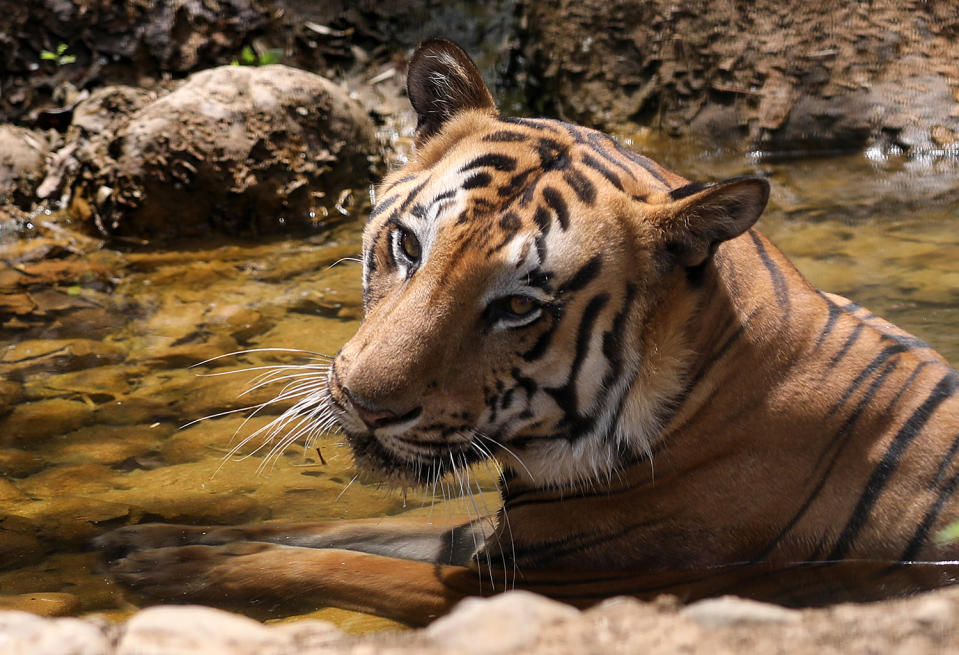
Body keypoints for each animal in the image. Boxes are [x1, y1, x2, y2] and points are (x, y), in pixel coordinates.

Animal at [99, 37, 959, 624]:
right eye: (407, 245)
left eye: (518, 307)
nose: (364, 405)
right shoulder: (493, 534)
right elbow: (336, 527)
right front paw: (136, 539)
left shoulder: (536, 581)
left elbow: (334, 564)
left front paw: (172, 574)